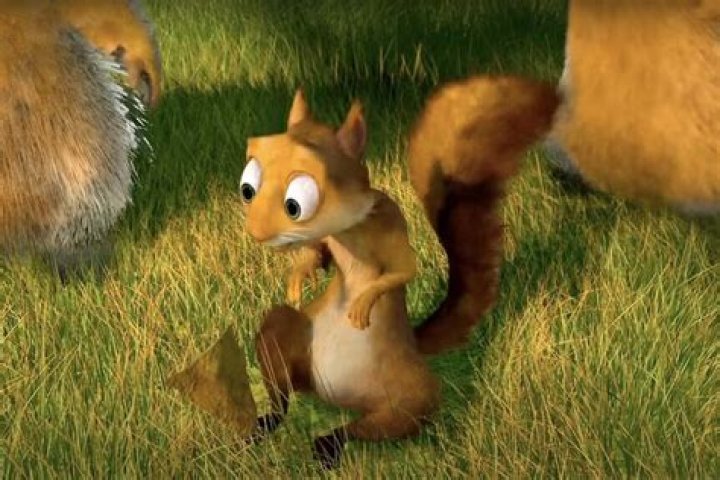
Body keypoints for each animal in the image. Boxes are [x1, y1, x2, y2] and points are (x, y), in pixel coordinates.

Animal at [239, 77, 559, 469]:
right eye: (248, 188)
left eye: (295, 204)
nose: (256, 233)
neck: (349, 229)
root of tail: (337, 400)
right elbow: (320, 253)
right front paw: (302, 273)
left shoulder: (390, 221)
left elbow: (403, 269)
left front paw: (363, 301)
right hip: (284, 338)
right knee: (283, 396)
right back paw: (263, 426)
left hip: (408, 396)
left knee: (370, 425)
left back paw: (327, 448)